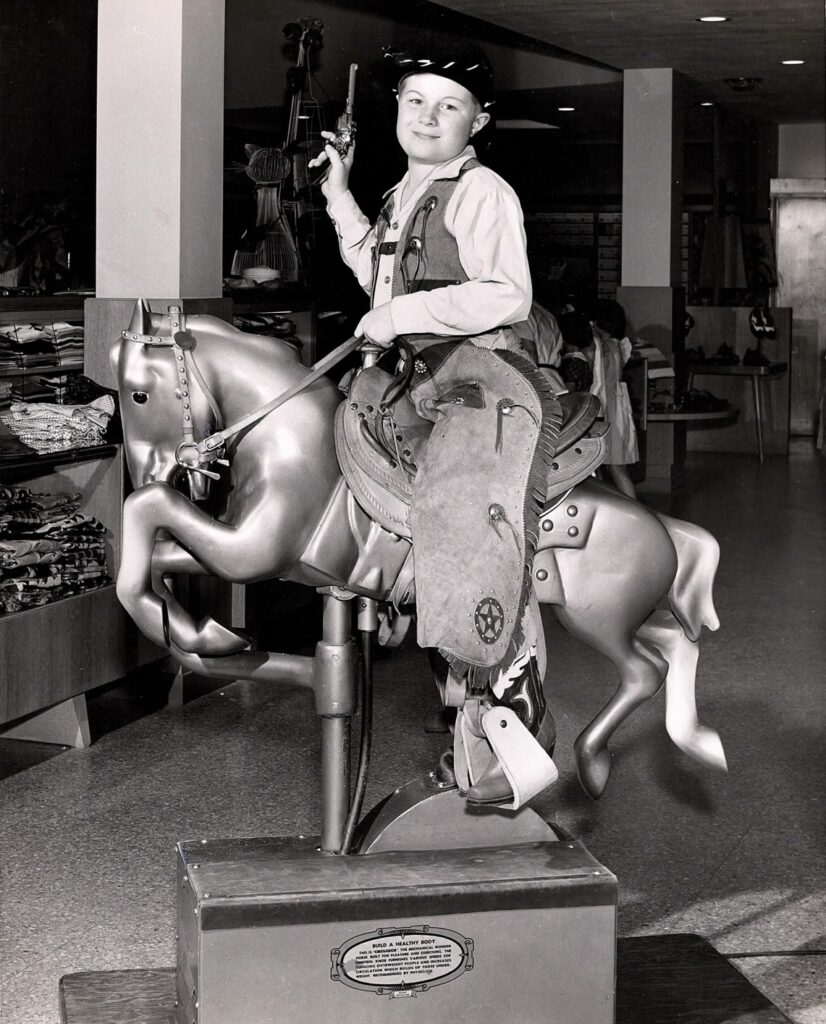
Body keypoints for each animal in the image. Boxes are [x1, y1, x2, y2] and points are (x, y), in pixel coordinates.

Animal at [111, 299, 728, 843]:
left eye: (139, 394)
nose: (158, 470)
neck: (285, 437)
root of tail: (660, 526)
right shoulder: (248, 550)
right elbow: (157, 549)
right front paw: (200, 632)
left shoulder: (256, 550)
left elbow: (145, 510)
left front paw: (195, 631)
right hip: (613, 612)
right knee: (676, 639)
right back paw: (691, 739)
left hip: (596, 616)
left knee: (643, 669)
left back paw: (589, 762)